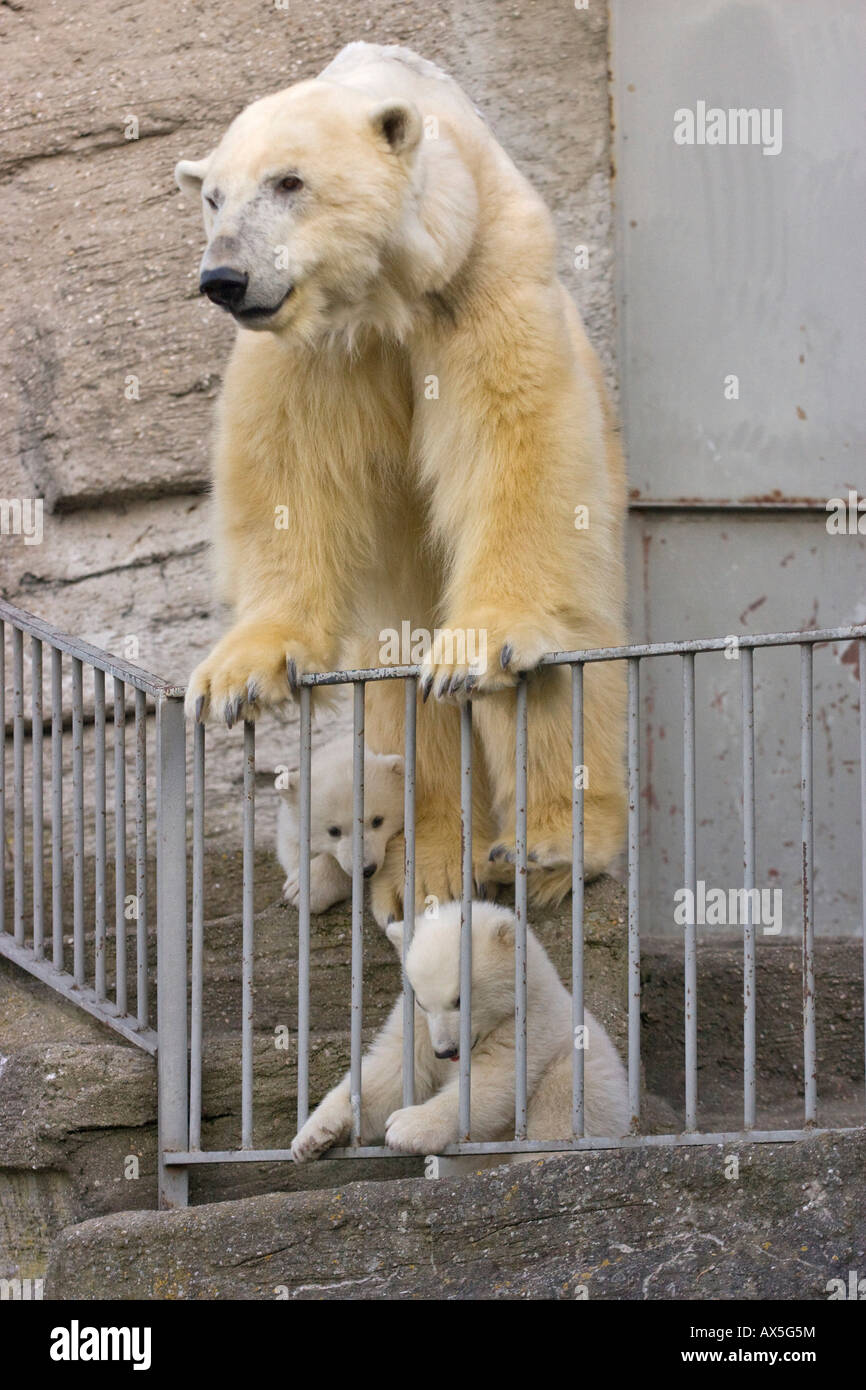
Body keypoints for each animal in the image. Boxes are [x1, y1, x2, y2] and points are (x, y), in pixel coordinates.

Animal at [291, 895, 631, 1156]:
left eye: (459, 1000)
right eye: (422, 1002)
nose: (445, 1050)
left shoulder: (529, 1024)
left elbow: (493, 1081)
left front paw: (405, 1126)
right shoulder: (417, 1026)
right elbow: (393, 1072)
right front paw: (311, 1136)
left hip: (582, 1085)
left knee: (557, 1113)